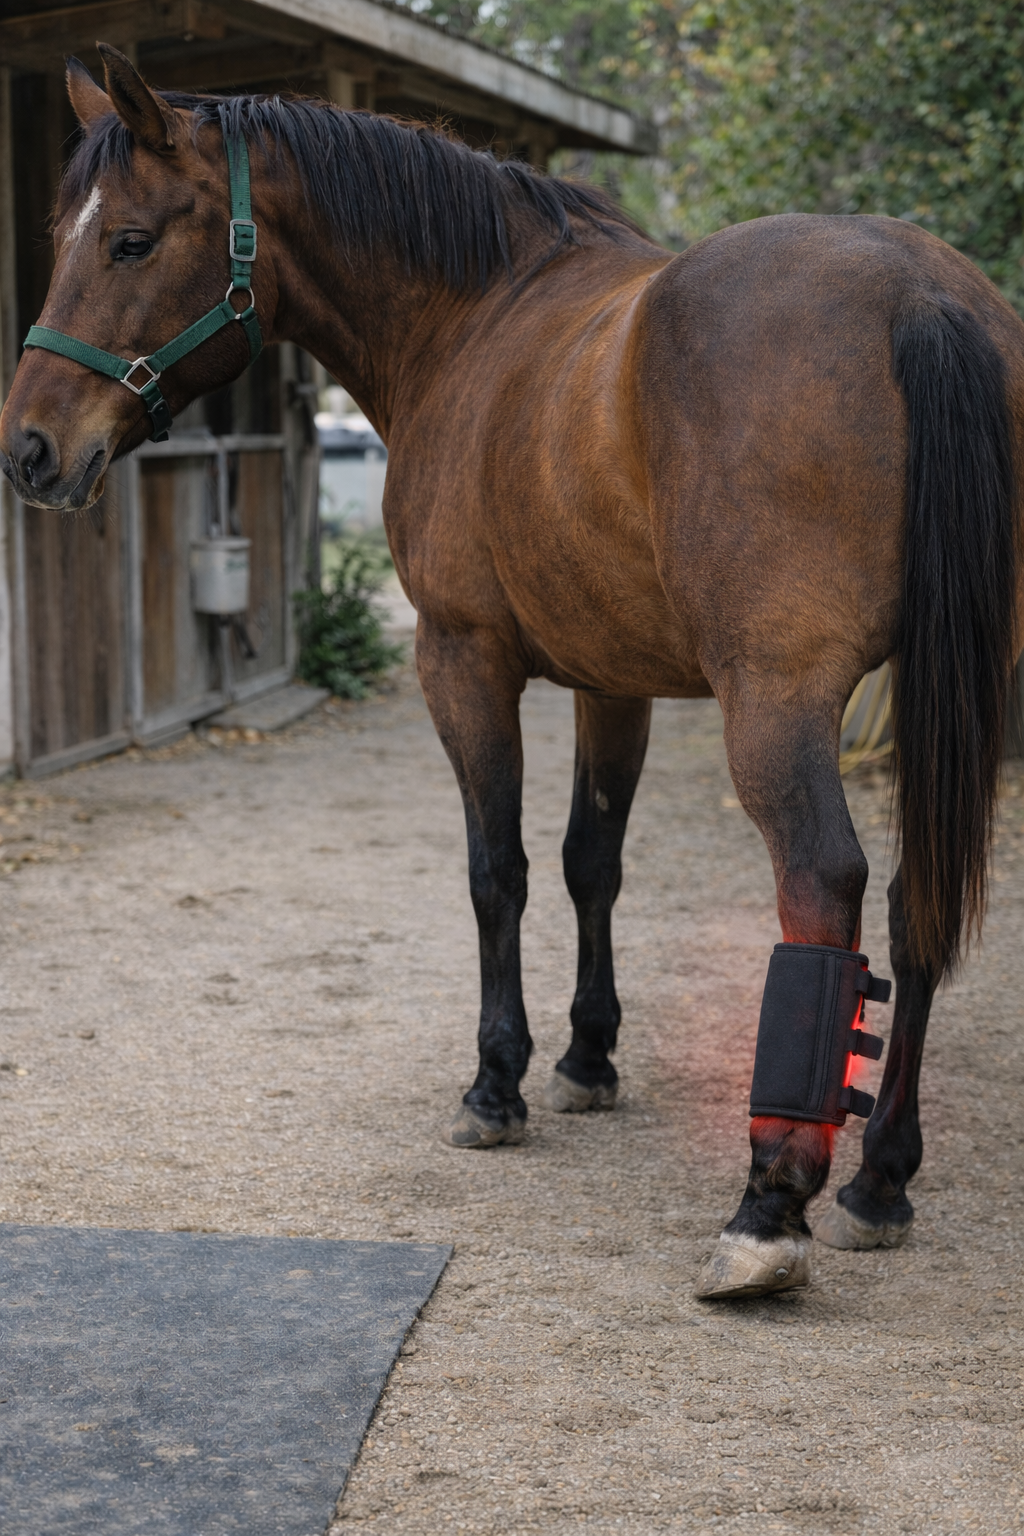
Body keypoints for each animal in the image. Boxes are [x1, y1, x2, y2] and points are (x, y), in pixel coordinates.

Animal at [1, 46, 1020, 1300]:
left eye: (132, 241)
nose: (31, 450)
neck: (472, 320)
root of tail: (915, 291)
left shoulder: (461, 659)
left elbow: (499, 871)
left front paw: (497, 1083)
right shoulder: (612, 680)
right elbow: (592, 863)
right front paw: (588, 1056)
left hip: (777, 704)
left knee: (824, 886)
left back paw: (768, 1205)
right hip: (954, 698)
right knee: (922, 895)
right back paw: (879, 1178)